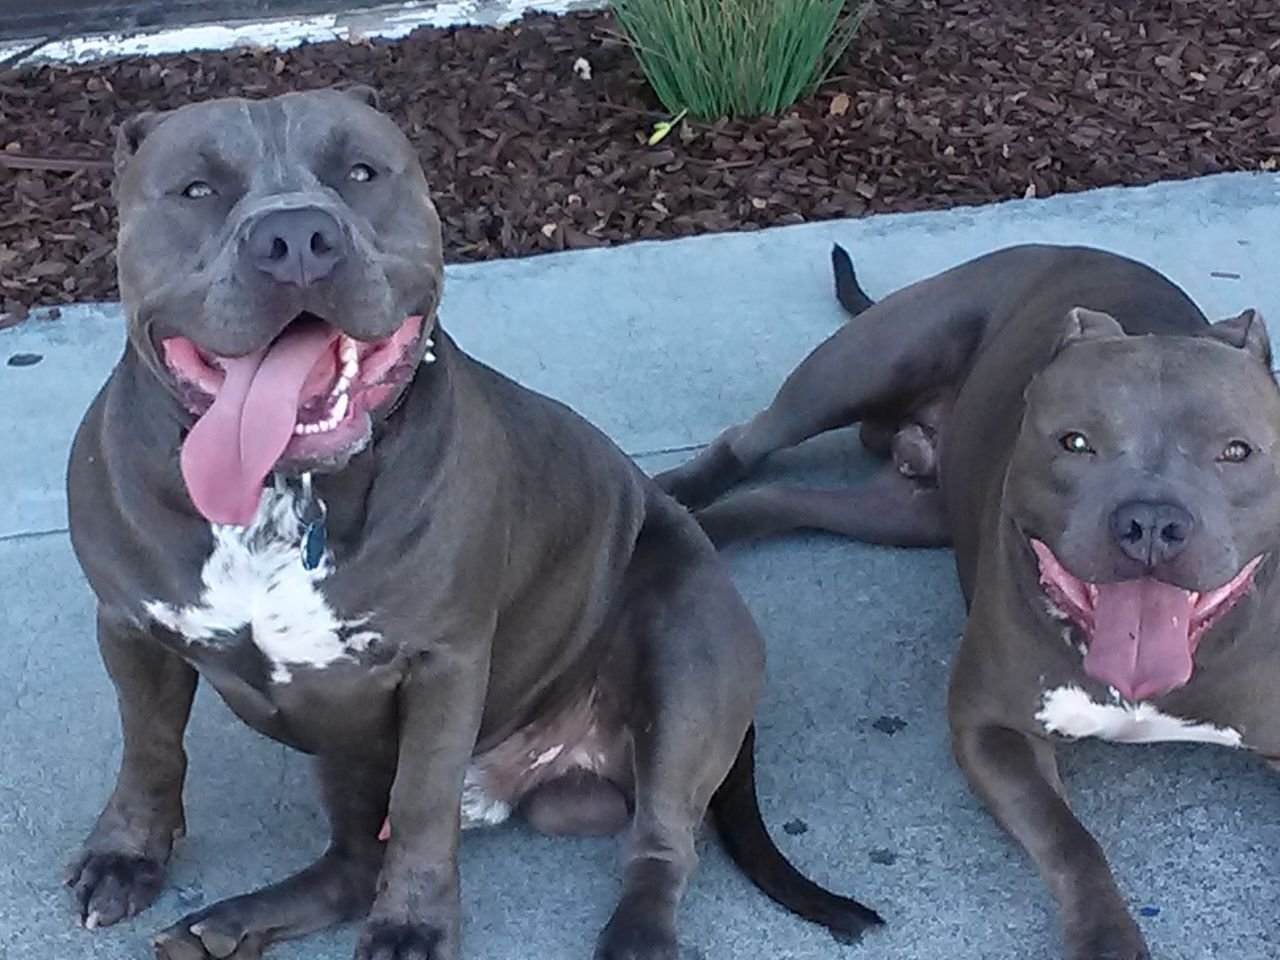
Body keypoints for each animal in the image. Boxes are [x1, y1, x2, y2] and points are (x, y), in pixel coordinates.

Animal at [62, 88, 881, 960]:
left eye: (361, 172)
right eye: (197, 189)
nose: (296, 238)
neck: (286, 492)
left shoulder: (444, 664)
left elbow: (422, 805)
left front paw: (412, 928)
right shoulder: (129, 628)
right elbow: (149, 747)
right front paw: (126, 855)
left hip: (691, 645)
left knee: (663, 844)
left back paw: (636, 933)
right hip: (340, 730)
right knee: (352, 864)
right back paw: (228, 924)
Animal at [658, 242, 1280, 959]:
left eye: (1236, 451)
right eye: (1076, 442)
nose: (1152, 521)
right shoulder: (990, 728)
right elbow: (1072, 840)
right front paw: (1106, 938)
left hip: (901, 513)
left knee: (782, 500)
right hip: (865, 364)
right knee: (750, 438)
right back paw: (672, 495)